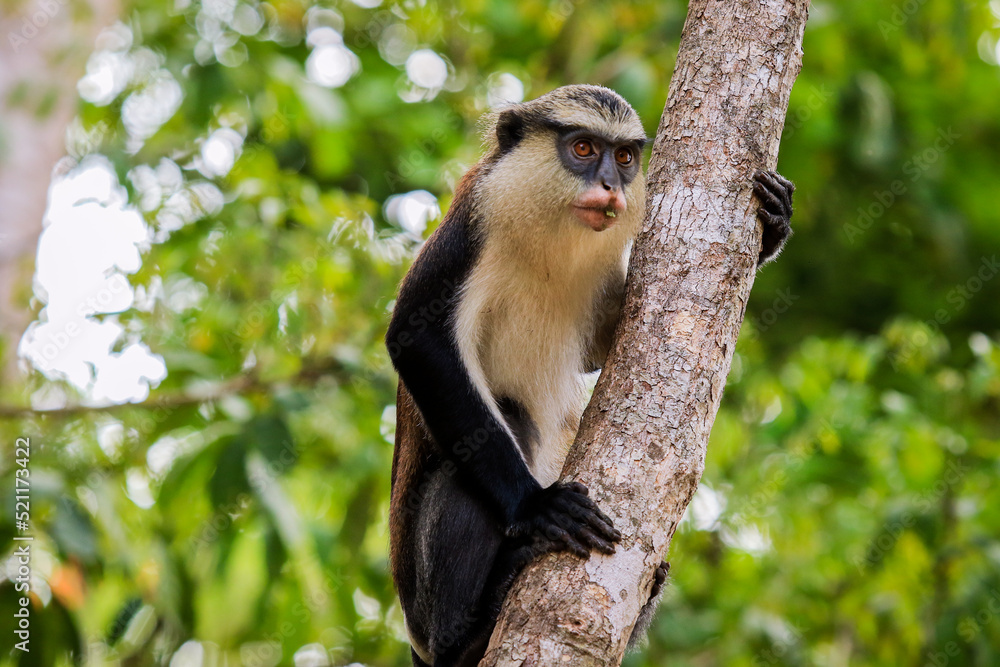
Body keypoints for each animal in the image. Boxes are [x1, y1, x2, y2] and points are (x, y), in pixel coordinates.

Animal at [385, 85, 794, 667]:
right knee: (499, 429)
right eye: (582, 148)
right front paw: (536, 505)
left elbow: (597, 352)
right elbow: (415, 338)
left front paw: (772, 229)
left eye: (622, 158)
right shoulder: (472, 226)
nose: (608, 186)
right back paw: (464, 639)